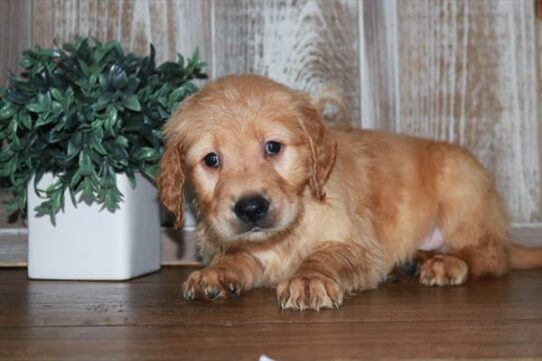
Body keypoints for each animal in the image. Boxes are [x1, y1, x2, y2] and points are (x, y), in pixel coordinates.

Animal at [159, 74, 542, 310]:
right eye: (211, 160)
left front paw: (309, 279)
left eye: (273, 147)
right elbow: (238, 257)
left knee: (493, 254)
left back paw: (446, 263)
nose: (251, 208)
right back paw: (412, 263)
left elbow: (325, 255)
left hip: (460, 191)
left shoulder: (359, 245)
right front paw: (215, 273)